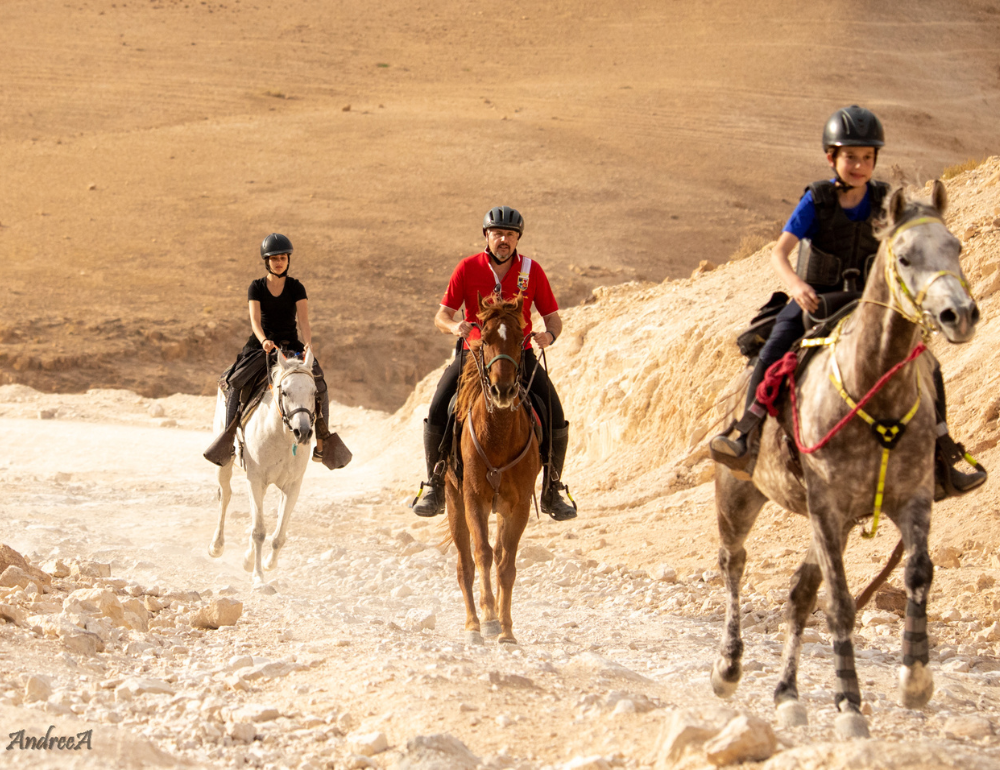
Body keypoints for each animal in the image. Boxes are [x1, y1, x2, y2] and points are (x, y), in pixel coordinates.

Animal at [209, 348, 318, 588]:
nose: (303, 432)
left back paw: (248, 558)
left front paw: (267, 564)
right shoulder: (255, 479)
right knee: (225, 496)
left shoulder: (292, 486)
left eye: (315, 392)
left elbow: (279, 534)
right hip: (226, 463)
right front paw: (258, 576)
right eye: (284, 392)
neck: (282, 437)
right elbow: (259, 531)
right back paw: (216, 547)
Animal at [446, 294, 540, 640]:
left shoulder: (519, 505)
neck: (497, 436)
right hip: (453, 501)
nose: (503, 391)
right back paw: (473, 622)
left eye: (519, 339)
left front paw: (506, 627)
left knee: (497, 554)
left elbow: (506, 564)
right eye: (484, 339)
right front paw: (487, 617)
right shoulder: (474, 500)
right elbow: (483, 554)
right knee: (465, 563)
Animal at [712, 182, 984, 736]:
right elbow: (839, 605)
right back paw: (728, 667)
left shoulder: (911, 500)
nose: (960, 316)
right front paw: (848, 703)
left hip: (826, 526)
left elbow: (918, 573)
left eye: (956, 248)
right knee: (734, 562)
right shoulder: (827, 508)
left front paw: (915, 678)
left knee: (798, 594)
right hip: (739, 494)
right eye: (904, 257)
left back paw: (788, 694)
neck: (872, 390)